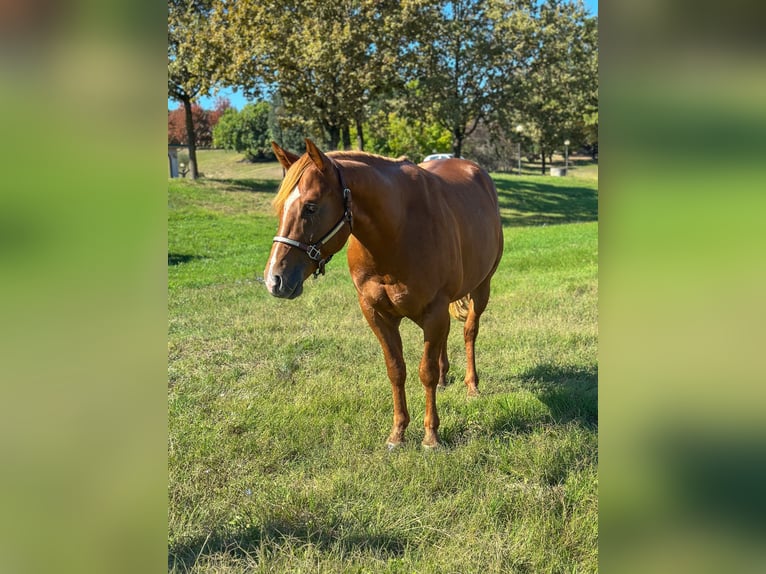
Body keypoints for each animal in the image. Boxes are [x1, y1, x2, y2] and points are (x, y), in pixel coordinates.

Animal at [264, 139, 504, 448]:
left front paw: (430, 436)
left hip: (481, 287)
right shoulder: (376, 313)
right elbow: (396, 370)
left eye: (311, 207)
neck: (398, 230)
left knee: (469, 332)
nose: (275, 280)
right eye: (281, 207)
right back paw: (445, 378)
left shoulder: (434, 311)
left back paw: (471, 385)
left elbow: (425, 372)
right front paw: (397, 433)